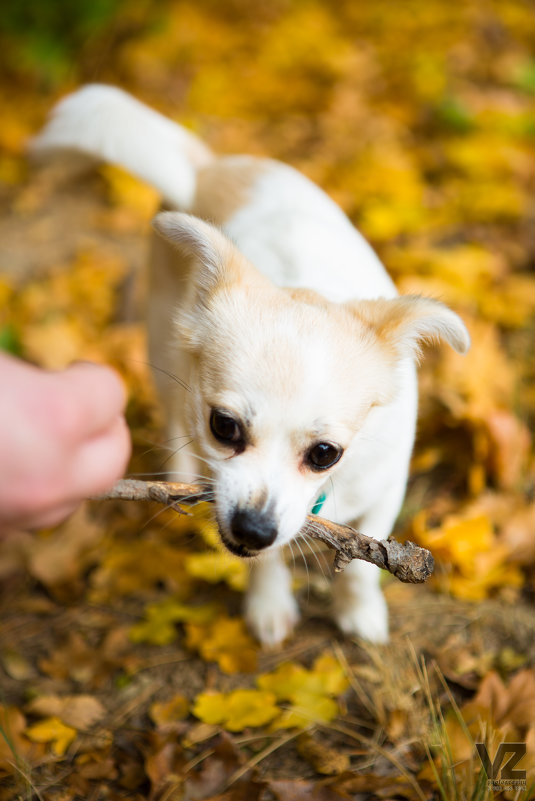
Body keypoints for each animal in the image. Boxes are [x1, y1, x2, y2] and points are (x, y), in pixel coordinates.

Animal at [32, 87, 468, 648]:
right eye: (224, 427)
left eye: (325, 454)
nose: (254, 528)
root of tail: (206, 168)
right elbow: (266, 563)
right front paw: (268, 603)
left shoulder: (385, 488)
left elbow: (363, 564)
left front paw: (359, 610)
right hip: (164, 345)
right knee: (172, 415)